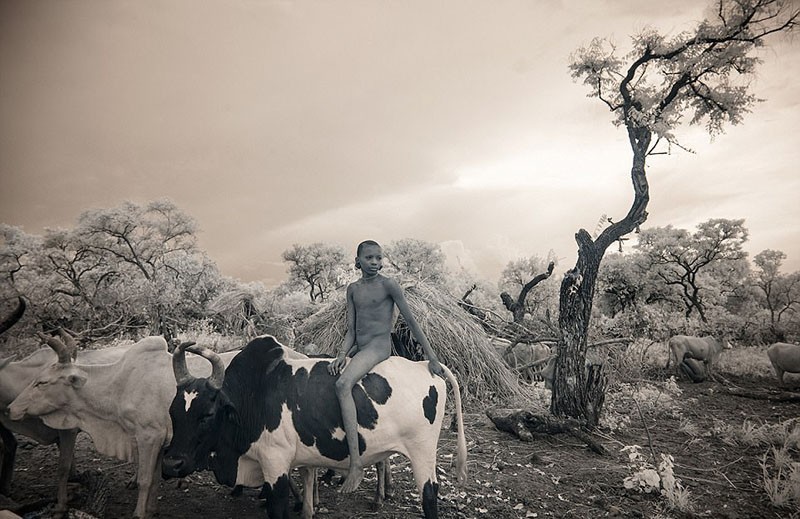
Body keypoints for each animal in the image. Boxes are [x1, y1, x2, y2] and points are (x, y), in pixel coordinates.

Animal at [7, 336, 239, 516]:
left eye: (42, 382)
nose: (10, 408)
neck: (122, 384)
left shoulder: (149, 437)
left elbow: (145, 480)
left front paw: (138, 513)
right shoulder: (160, 442)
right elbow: (155, 479)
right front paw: (151, 510)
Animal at [162, 338, 468, 519]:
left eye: (207, 414)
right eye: (173, 411)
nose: (171, 464)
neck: (254, 396)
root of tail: (426, 366)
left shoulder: (275, 465)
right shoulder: (301, 461)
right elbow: (308, 502)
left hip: (422, 453)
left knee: (429, 496)